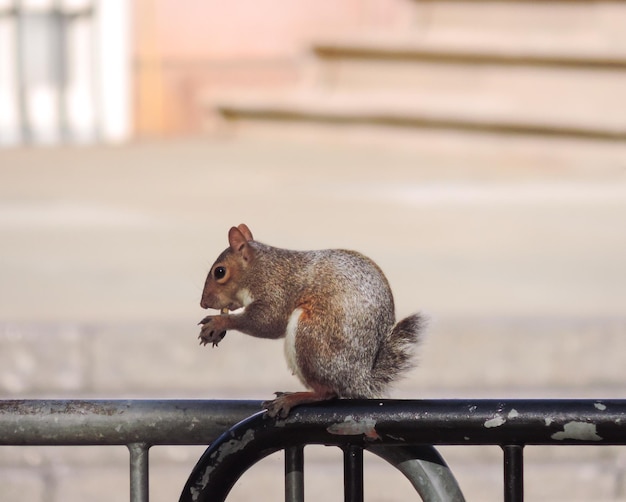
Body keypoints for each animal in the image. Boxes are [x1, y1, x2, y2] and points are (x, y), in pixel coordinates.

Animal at [197, 226, 422, 418]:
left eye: (220, 272)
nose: (203, 303)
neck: (262, 268)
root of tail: (359, 378)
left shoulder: (277, 292)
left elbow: (267, 321)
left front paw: (219, 322)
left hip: (310, 336)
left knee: (328, 393)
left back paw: (293, 398)